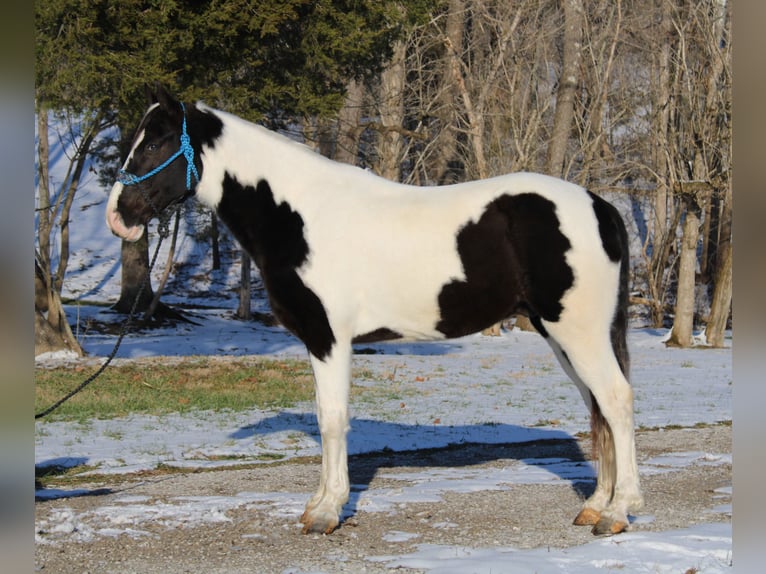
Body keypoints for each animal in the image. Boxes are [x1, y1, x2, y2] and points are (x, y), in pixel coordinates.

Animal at [106, 86, 640, 540]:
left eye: (155, 143)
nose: (118, 216)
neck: (301, 216)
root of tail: (599, 206)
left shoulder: (329, 338)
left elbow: (333, 419)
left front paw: (327, 512)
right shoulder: (318, 341)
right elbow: (326, 416)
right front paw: (318, 505)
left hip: (579, 333)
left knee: (615, 400)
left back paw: (617, 512)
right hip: (564, 337)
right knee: (598, 407)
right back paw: (594, 505)